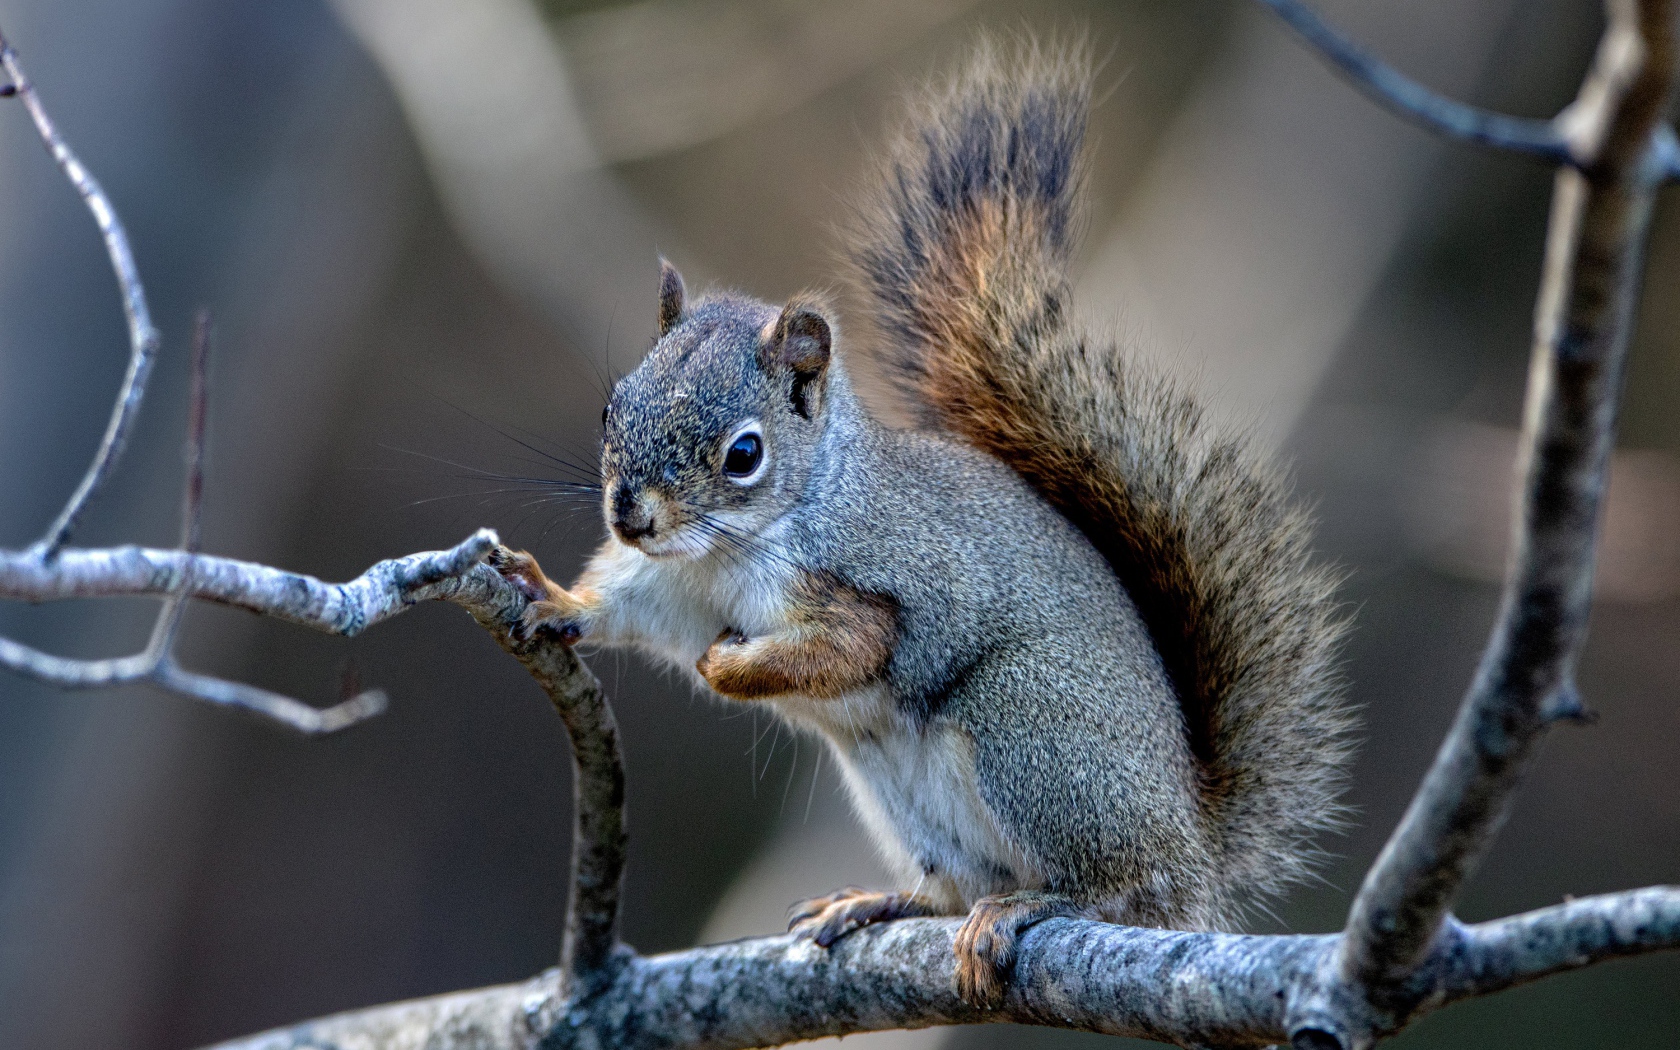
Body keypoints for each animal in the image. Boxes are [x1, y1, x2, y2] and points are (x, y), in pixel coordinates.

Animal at [490, 36, 1357, 1001]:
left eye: (744, 454)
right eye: (613, 408)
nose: (631, 517)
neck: (725, 550)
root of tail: (1195, 853)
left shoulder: (874, 580)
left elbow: (848, 647)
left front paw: (729, 668)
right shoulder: (664, 586)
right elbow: (621, 609)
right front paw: (552, 598)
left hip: (1032, 731)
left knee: (1117, 887)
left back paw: (1032, 907)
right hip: (908, 807)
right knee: (956, 884)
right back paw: (884, 902)